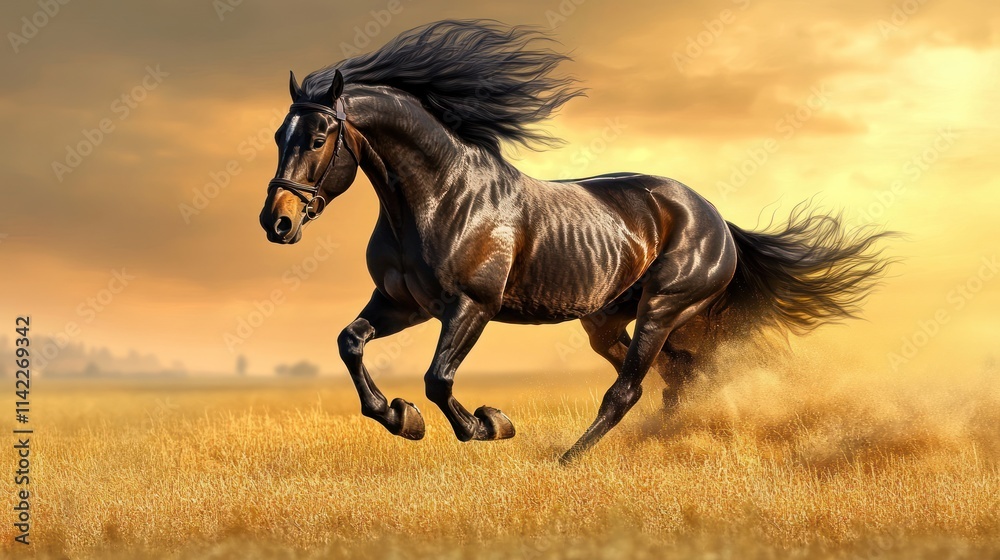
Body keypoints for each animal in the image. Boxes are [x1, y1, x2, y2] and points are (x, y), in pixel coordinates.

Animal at [258, 20, 892, 463]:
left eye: (318, 136)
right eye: (278, 135)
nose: (276, 222)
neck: (438, 198)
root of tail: (714, 219)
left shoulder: (471, 307)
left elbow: (439, 380)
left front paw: (489, 424)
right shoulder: (403, 303)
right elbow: (350, 343)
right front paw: (400, 417)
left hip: (663, 307)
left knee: (630, 389)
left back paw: (569, 459)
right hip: (607, 321)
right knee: (680, 375)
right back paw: (665, 439)